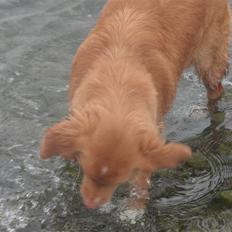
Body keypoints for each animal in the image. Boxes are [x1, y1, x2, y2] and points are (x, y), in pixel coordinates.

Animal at [40, 0, 230, 209]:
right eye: (87, 171)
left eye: (118, 181)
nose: (91, 205)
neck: (118, 79)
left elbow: (141, 181)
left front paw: (132, 210)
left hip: (209, 59)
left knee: (215, 90)